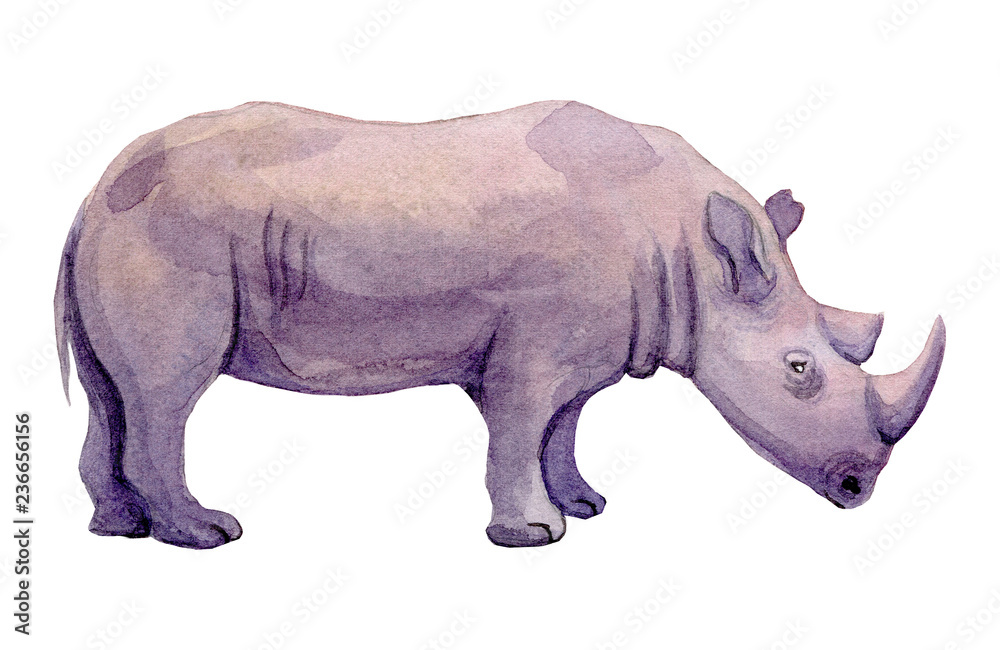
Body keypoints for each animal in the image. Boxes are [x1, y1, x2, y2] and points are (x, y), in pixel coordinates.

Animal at [55, 100, 945, 549]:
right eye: (800, 370)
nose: (858, 489)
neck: (692, 251)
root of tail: (92, 193)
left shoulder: (593, 343)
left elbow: (563, 424)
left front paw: (587, 505)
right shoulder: (533, 346)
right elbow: (520, 428)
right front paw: (533, 534)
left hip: (130, 227)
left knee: (112, 394)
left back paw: (119, 528)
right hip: (168, 230)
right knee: (168, 394)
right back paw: (207, 535)